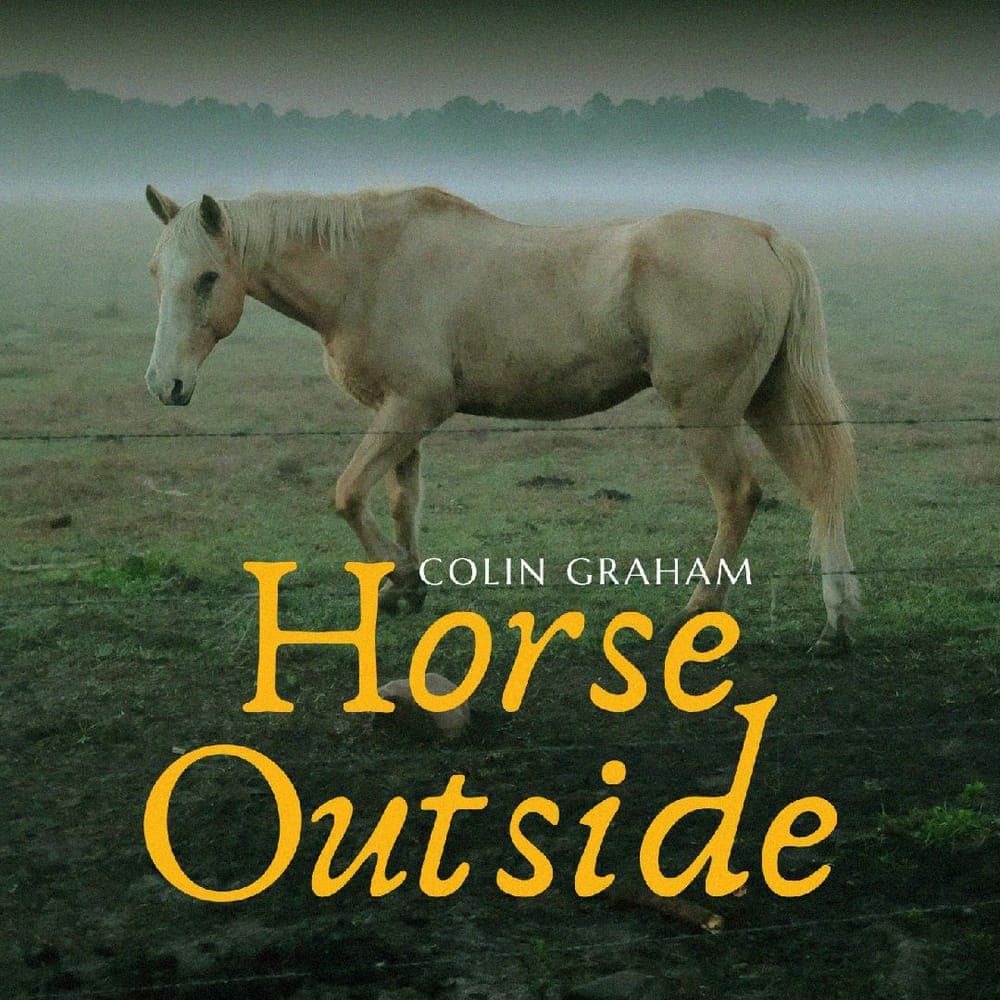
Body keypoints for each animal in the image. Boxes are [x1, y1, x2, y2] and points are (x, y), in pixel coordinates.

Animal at [143, 184, 861, 654]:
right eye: (156, 272)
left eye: (207, 277)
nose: (164, 384)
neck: (370, 268)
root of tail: (765, 237)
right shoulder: (399, 414)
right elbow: (401, 502)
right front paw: (408, 587)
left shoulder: (415, 407)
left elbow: (348, 495)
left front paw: (399, 579)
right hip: (768, 403)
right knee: (820, 491)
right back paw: (836, 622)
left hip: (708, 413)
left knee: (740, 496)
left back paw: (700, 608)